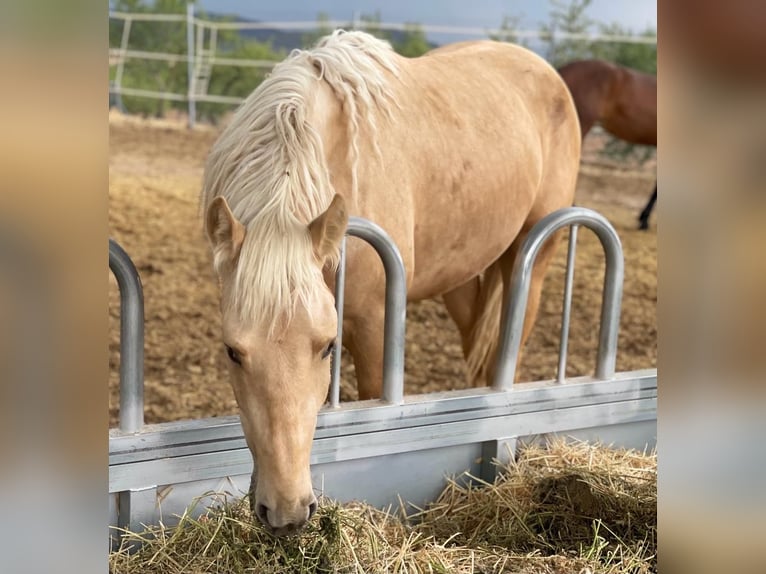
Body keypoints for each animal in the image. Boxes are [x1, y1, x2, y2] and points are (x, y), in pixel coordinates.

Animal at [201, 30, 580, 536]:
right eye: (232, 352)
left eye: (327, 346)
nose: (286, 512)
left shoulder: (373, 323)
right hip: (460, 280)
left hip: (531, 260)